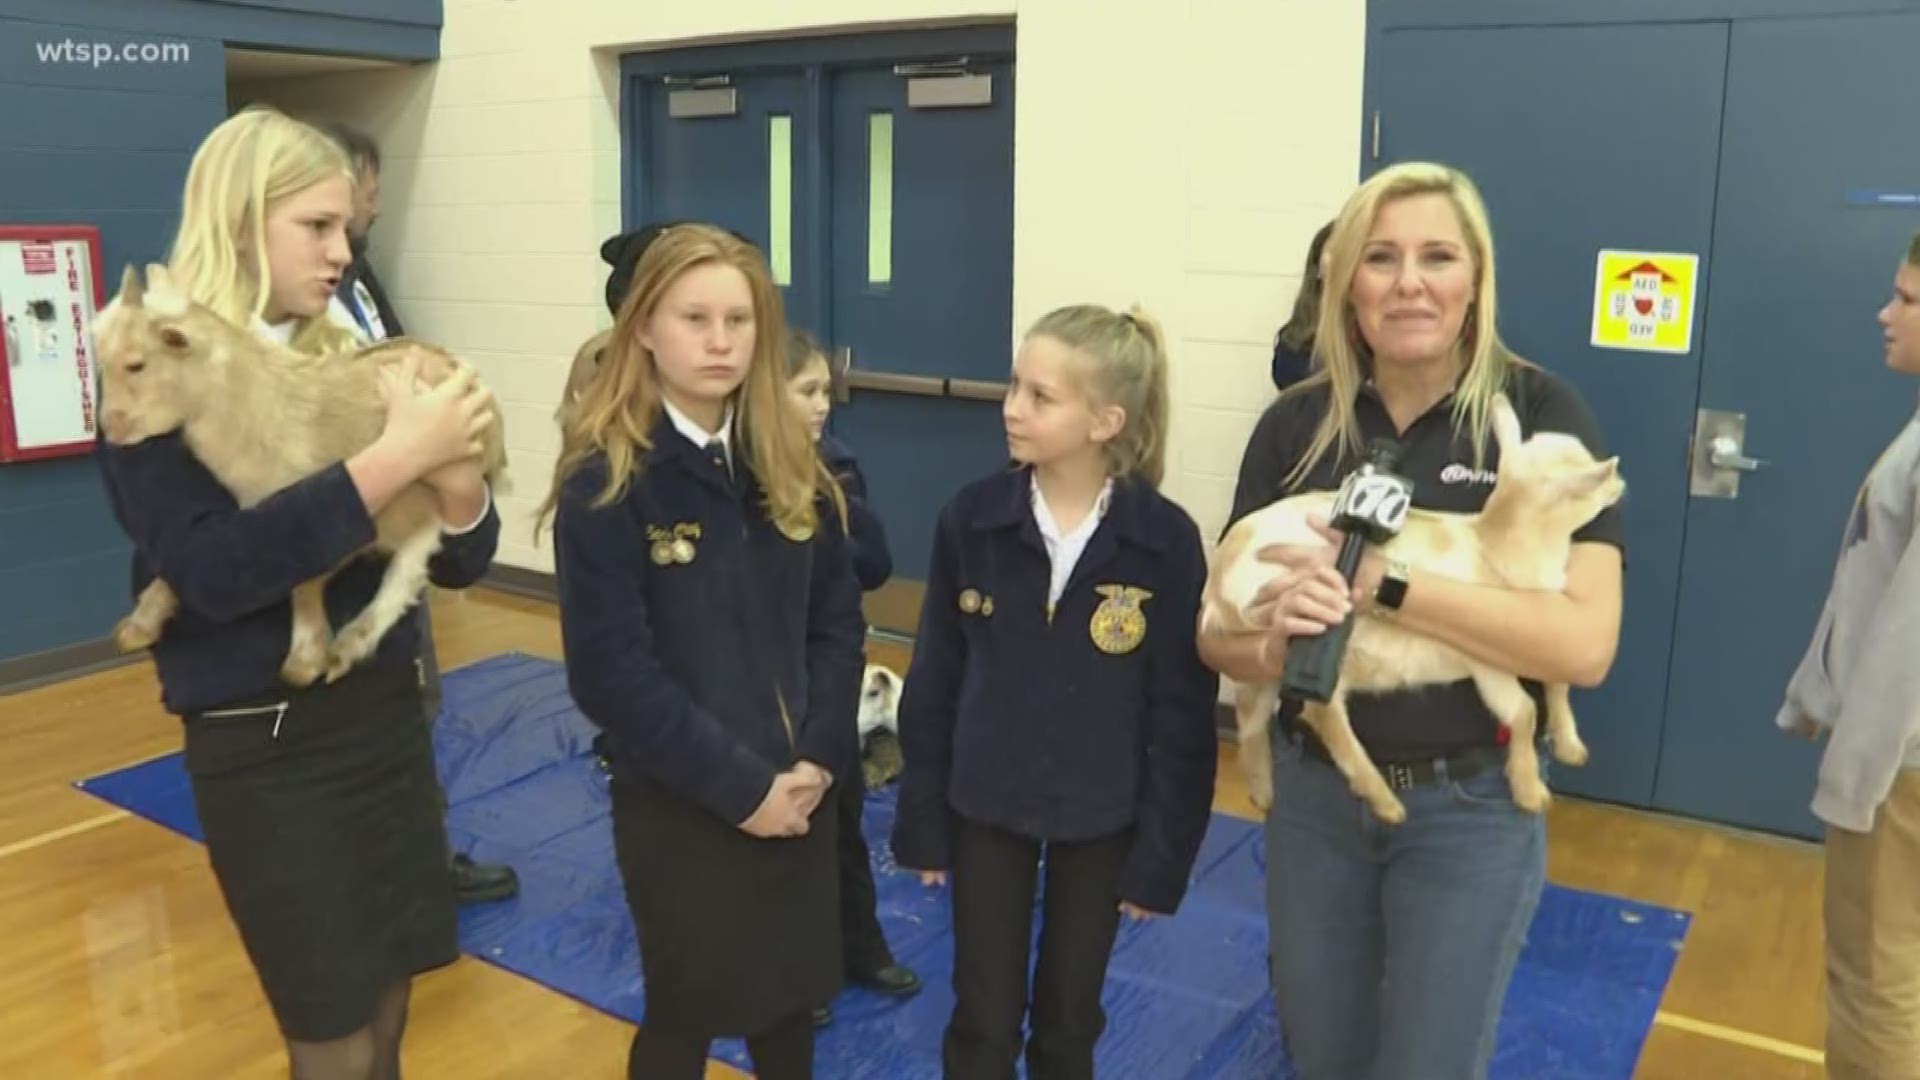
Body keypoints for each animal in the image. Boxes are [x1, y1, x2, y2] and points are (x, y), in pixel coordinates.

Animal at [91, 263, 510, 680]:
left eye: (136, 364)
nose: (110, 428)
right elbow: (180, 564)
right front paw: (139, 625)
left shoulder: (353, 517)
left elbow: (306, 585)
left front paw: (304, 660)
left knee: (409, 566)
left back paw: (345, 647)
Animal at [1205, 390, 1628, 818]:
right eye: (1594, 478)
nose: (1621, 483)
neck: (1492, 546)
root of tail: (1216, 585)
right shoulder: (1486, 663)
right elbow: (1523, 711)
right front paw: (1530, 793)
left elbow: (1559, 682)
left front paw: (1571, 748)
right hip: (1318, 635)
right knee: (1321, 712)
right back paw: (1385, 803)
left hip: (1267, 664)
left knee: (1252, 717)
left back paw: (1264, 793)